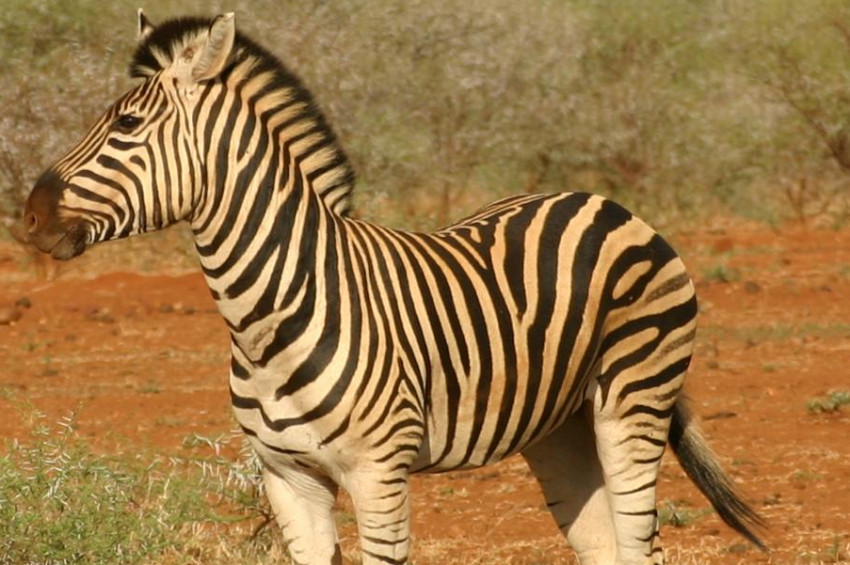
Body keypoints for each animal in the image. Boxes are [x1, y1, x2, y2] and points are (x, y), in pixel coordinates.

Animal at [23, 12, 765, 565]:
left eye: (126, 126)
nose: (28, 215)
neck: (270, 314)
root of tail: (606, 202)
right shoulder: (288, 477)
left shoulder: (378, 474)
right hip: (559, 426)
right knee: (604, 545)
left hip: (632, 402)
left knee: (641, 542)